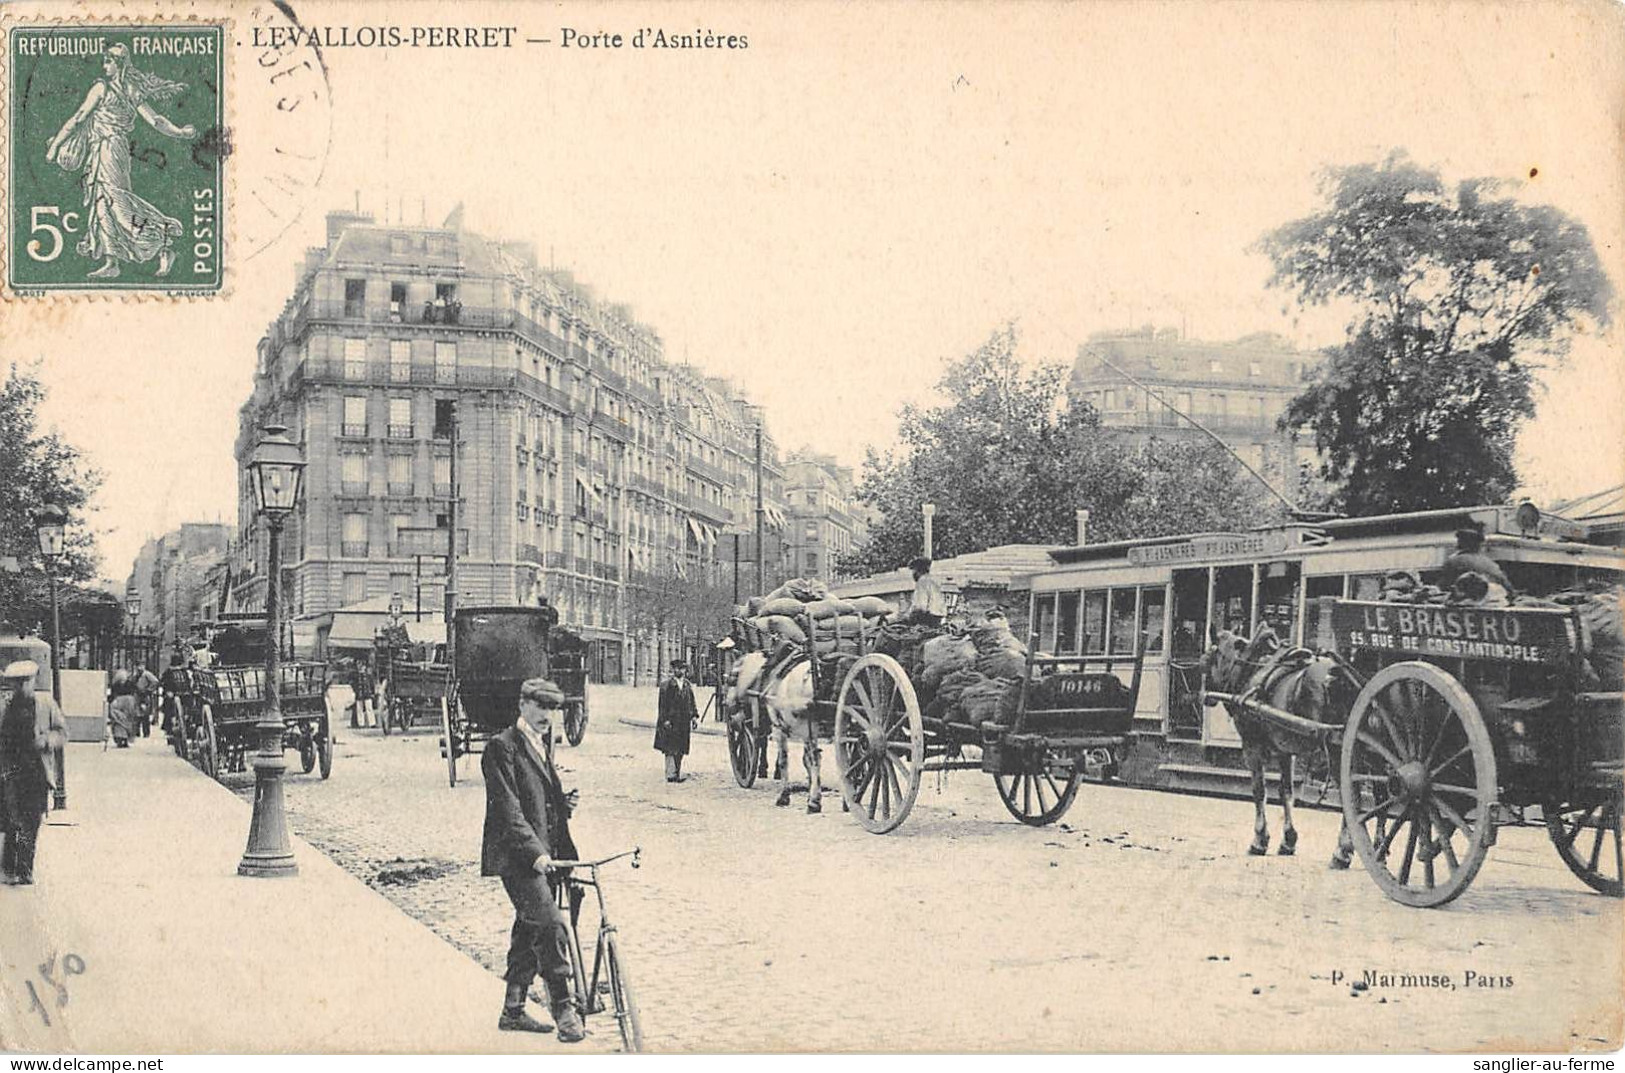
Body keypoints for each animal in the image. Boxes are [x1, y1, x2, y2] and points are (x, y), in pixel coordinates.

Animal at [728, 647, 825, 812]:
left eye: (731, 679)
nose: (727, 704)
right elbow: (805, 760)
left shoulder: (779, 727)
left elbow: (784, 760)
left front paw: (785, 796)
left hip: (807, 728)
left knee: (815, 759)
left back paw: (814, 803)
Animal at [1202, 627, 1365, 864]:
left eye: (1211, 655)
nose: (1206, 696)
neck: (1250, 671)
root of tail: (1339, 672)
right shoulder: (1284, 752)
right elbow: (1286, 792)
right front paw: (1288, 840)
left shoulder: (1251, 746)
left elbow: (1259, 790)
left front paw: (1260, 840)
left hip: (1337, 750)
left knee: (1350, 795)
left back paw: (1342, 851)